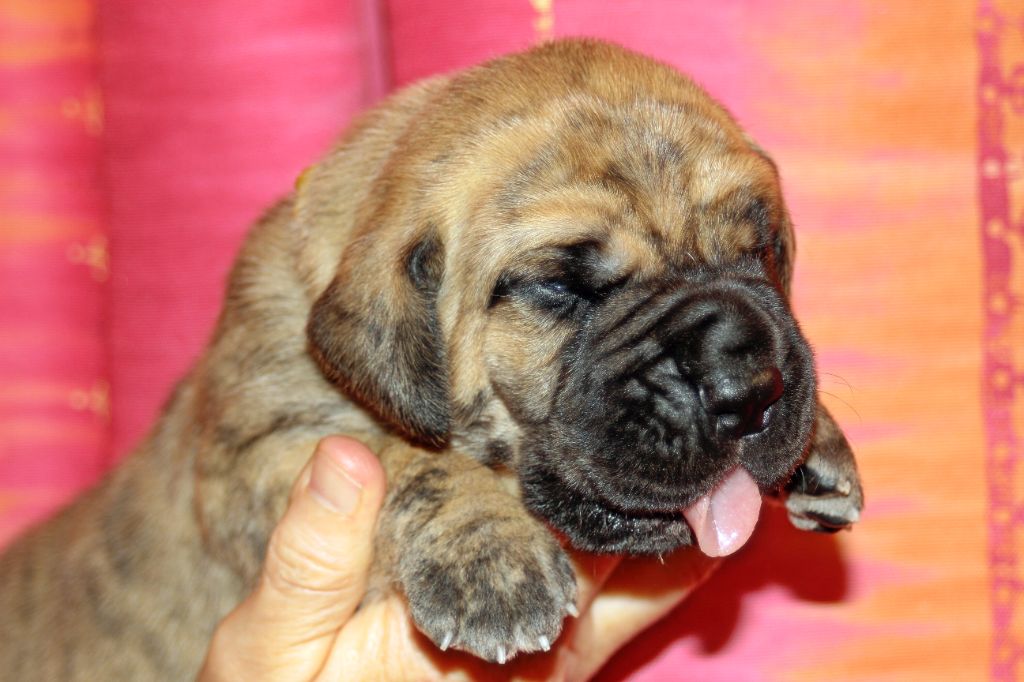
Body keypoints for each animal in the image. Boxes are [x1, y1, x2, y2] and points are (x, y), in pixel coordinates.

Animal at [0, 38, 862, 678]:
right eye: (561, 287)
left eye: (760, 251)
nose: (745, 389)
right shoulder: (259, 450)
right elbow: (405, 461)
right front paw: (490, 560)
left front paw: (817, 439)